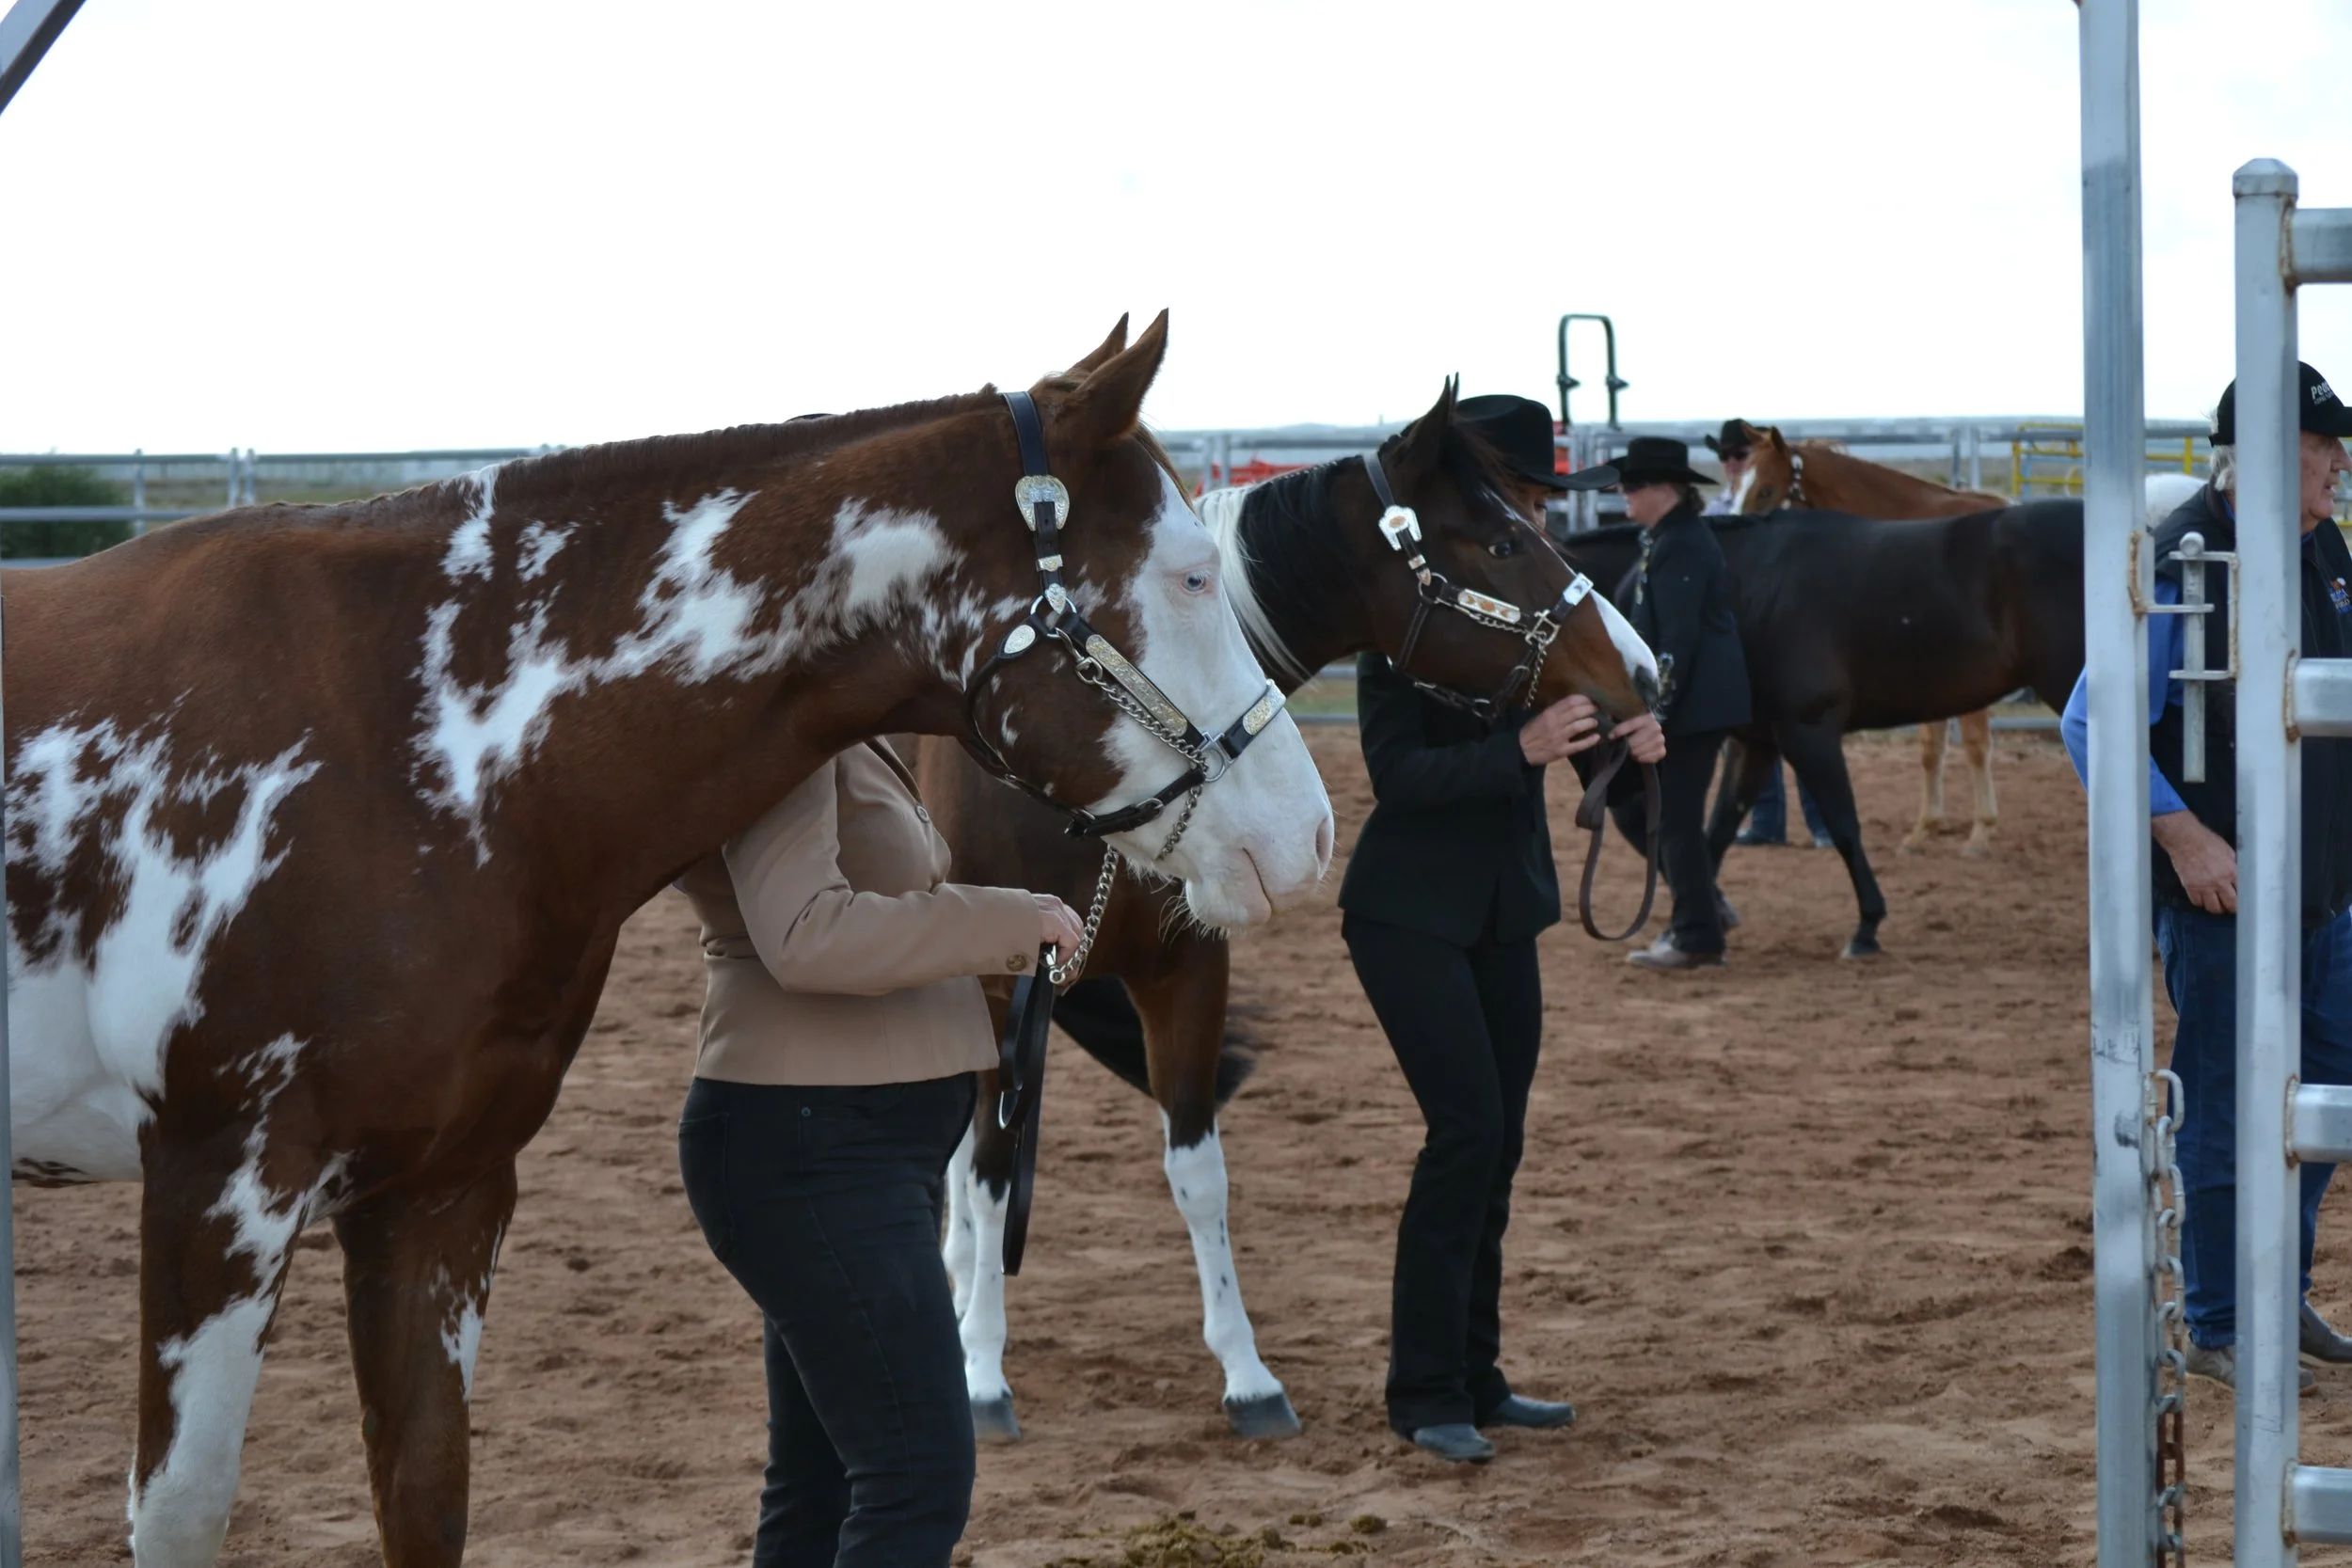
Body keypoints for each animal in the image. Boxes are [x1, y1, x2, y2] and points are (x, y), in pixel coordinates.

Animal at [7, 311, 1337, 1568]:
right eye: (1188, 576)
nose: (1309, 833)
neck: (406, 742)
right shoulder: (218, 1190)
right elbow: (183, 1515)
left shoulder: (437, 1193)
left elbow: (425, 1498)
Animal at [918, 376, 1661, 1443]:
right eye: (1502, 544)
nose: (1644, 672)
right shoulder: (997, 979)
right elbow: (989, 1173)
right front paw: (981, 1371)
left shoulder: (1187, 970)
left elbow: (1198, 1174)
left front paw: (1248, 1375)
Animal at [1560, 499, 2087, 959]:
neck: (1744, 585)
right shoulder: (1756, 743)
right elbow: (1718, 831)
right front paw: (1702, 921)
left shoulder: (1807, 731)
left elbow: (1843, 826)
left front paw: (1867, 929)